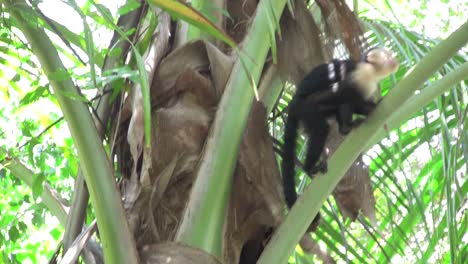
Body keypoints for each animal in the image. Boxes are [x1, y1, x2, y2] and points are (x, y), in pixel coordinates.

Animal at [282, 48, 398, 231]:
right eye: (387, 55)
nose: (394, 58)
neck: (372, 72)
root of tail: (293, 102)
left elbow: (352, 100)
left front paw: (369, 107)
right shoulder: (361, 73)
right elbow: (344, 91)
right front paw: (372, 106)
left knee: (340, 107)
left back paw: (345, 127)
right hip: (304, 107)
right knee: (324, 120)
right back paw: (309, 167)